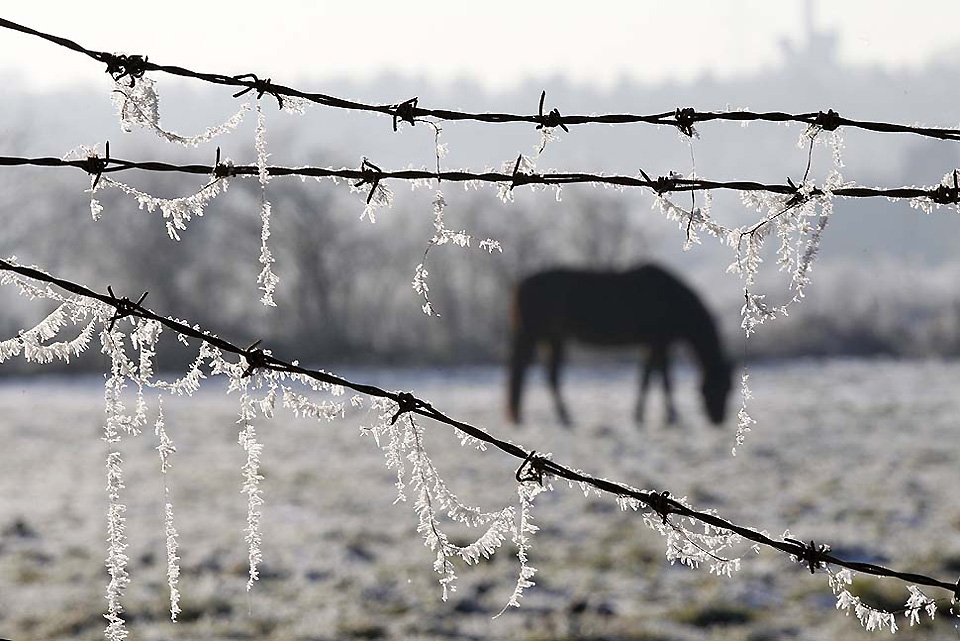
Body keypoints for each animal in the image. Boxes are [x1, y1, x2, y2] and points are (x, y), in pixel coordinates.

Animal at [506, 262, 732, 428]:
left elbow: (648, 378)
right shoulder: (659, 343)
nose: (719, 420)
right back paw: (551, 417)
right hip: (534, 336)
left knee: (549, 376)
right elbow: (664, 380)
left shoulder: (651, 344)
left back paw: (558, 417)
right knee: (530, 372)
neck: (673, 299)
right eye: (718, 389)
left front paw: (641, 416)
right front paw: (670, 418)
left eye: (729, 388)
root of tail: (520, 285)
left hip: (552, 338)